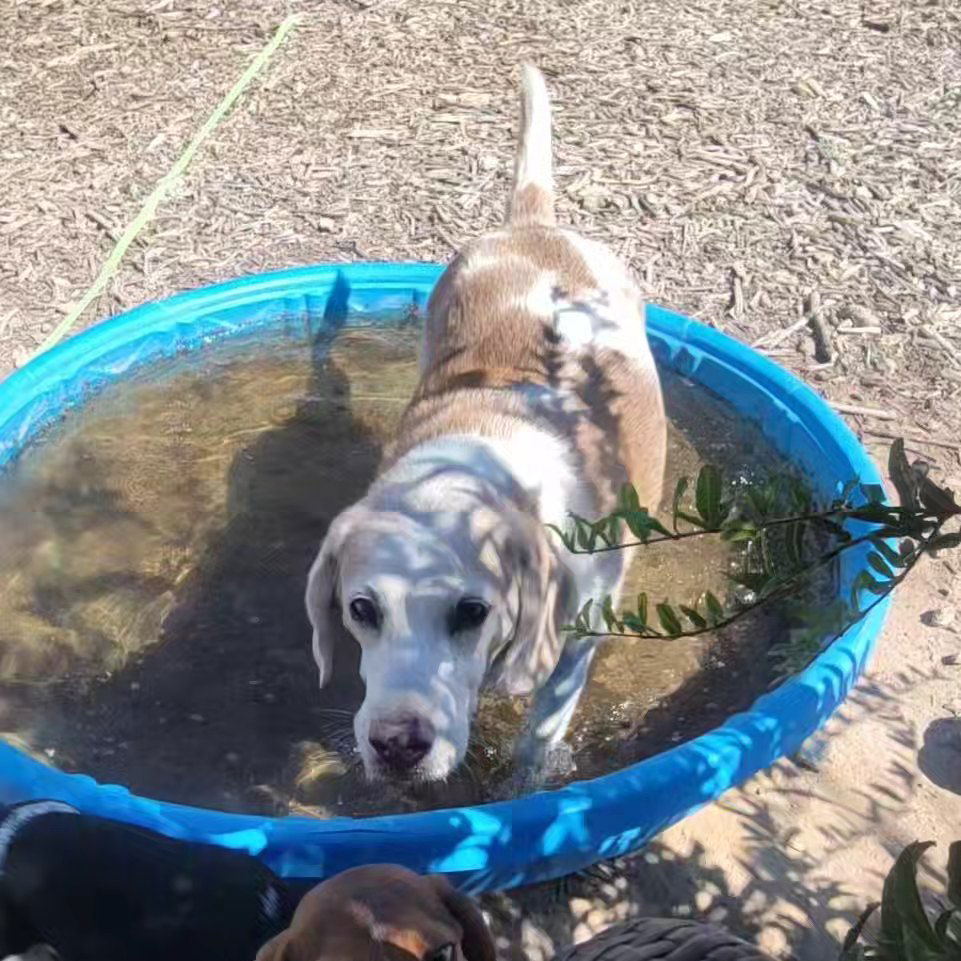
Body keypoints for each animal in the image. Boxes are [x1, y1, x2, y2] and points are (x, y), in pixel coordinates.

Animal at [304, 63, 664, 784]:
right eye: (362, 609)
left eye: (471, 612)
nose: (396, 744)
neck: (479, 456)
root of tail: (533, 224)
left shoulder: (578, 637)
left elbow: (539, 729)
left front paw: (527, 783)